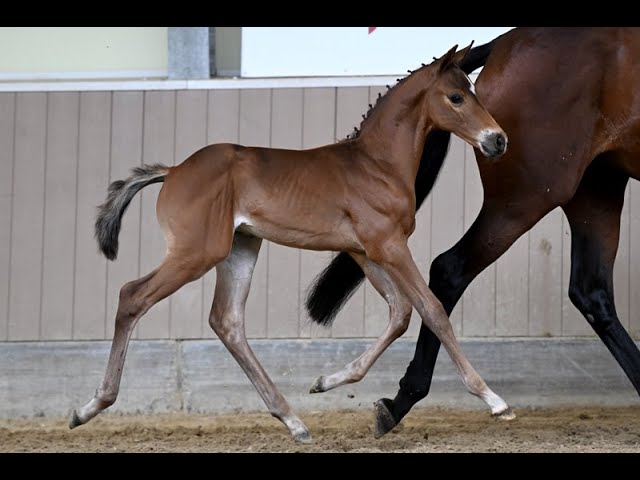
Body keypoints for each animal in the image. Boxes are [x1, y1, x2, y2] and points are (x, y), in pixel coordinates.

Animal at [304, 27, 640, 438]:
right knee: (450, 270)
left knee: (591, 292)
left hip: (596, 187)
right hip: (529, 196)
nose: (497, 139)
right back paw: (405, 400)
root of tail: (505, 42)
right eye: (456, 98)